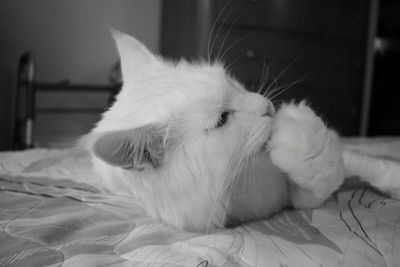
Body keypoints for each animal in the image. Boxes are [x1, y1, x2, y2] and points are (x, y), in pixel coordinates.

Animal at [84, 30, 396, 233]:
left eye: (232, 82)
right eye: (222, 119)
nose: (268, 107)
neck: (248, 178)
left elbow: (352, 164)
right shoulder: (298, 201)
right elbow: (319, 175)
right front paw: (293, 133)